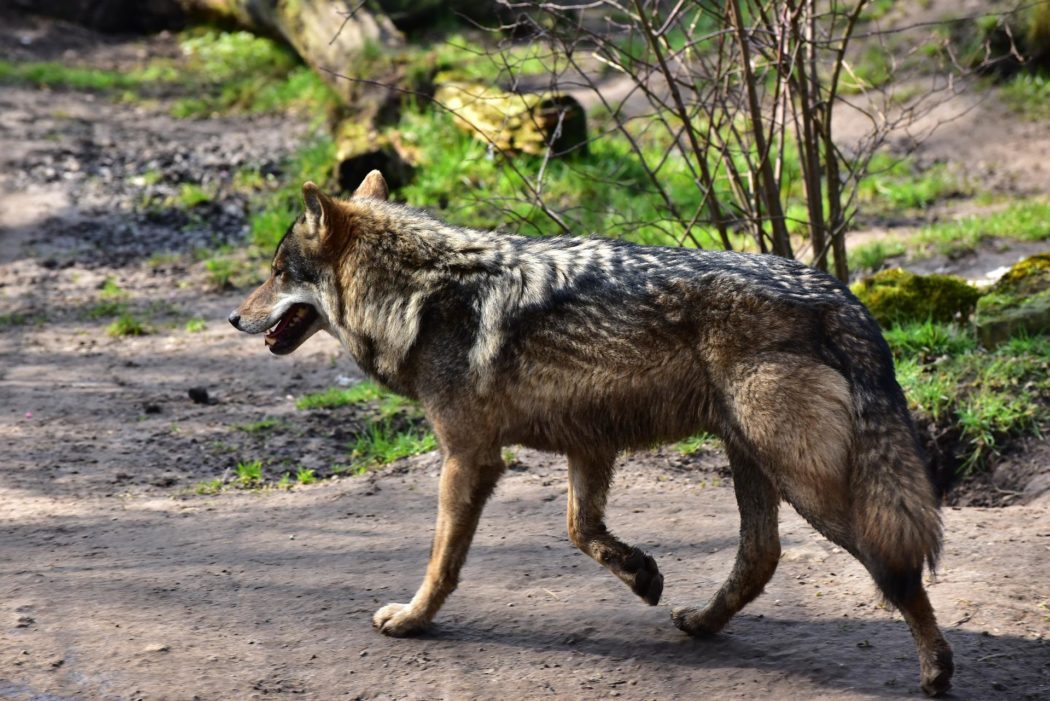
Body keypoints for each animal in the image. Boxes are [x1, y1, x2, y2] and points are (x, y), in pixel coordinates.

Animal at [229, 171, 954, 696]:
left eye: (278, 270)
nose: (233, 317)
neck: (420, 294)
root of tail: (842, 295)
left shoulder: (470, 457)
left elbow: (443, 560)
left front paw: (413, 619)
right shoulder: (589, 443)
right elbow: (582, 530)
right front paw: (641, 574)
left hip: (807, 482)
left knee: (892, 568)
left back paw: (936, 669)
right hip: (751, 457)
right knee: (760, 556)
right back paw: (700, 621)